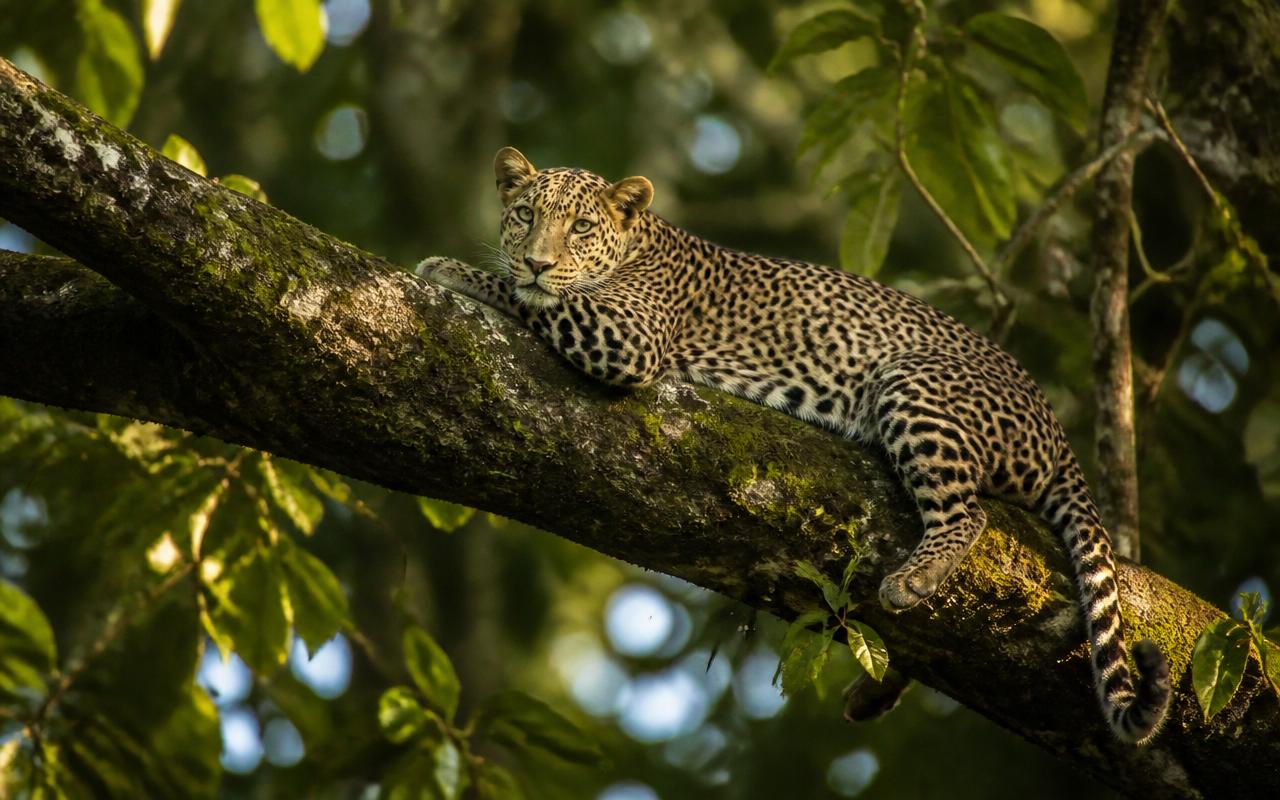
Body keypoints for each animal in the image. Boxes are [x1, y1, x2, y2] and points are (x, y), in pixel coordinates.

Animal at [418, 146, 1172, 744]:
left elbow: (541, 302)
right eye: (524, 215)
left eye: (580, 226)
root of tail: (1058, 434)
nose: (536, 260)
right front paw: (484, 269)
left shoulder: (626, 337)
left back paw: (912, 579)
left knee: (970, 513)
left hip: (913, 383)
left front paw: (457, 271)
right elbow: (537, 296)